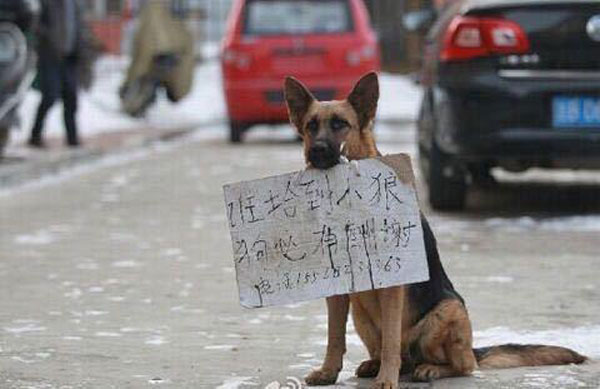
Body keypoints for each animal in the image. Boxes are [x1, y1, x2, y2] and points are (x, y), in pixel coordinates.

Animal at [282, 71, 584, 386]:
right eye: (311, 126)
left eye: (340, 124)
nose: (317, 151)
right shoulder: (338, 290)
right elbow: (334, 335)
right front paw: (329, 372)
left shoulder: (393, 288)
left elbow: (391, 341)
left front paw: (386, 380)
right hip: (362, 315)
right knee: (398, 354)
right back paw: (375, 365)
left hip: (447, 312)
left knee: (460, 364)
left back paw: (429, 369)